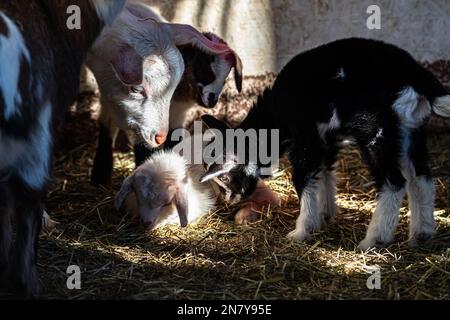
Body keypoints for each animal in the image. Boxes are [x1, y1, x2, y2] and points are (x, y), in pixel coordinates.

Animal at [200, 38, 450, 250]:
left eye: (225, 176)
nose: (230, 199)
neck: (276, 114)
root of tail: (414, 73)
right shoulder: (325, 140)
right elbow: (324, 173)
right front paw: (325, 214)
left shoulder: (304, 137)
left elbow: (303, 179)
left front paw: (303, 230)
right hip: (409, 129)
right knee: (421, 177)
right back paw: (422, 234)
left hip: (375, 131)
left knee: (394, 181)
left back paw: (374, 240)